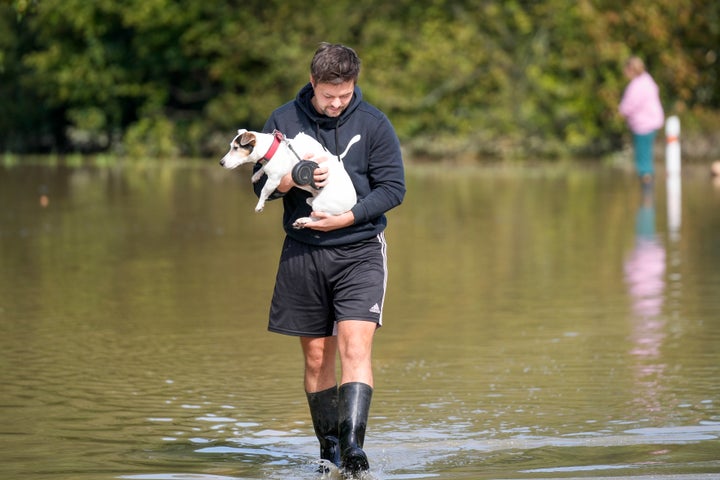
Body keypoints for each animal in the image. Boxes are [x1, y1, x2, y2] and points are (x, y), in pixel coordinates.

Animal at [217, 129, 358, 229]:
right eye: (231, 146)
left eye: (236, 148)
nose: (221, 163)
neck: (272, 150)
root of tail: (351, 204)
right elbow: (263, 169)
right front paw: (257, 175)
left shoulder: (273, 180)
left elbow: (263, 191)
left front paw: (259, 205)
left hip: (321, 204)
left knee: (319, 218)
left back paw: (304, 220)